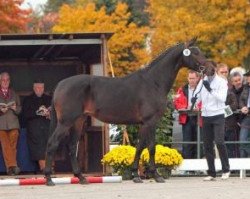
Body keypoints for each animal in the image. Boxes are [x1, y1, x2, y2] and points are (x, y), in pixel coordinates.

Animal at [44, 38, 213, 186]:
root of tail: (60, 85)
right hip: (65, 122)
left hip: (78, 121)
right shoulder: (150, 122)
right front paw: (156, 175)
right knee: (52, 143)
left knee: (72, 146)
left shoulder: (143, 124)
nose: (211, 69)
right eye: (195, 53)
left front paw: (136, 175)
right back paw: (49, 179)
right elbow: (151, 147)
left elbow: (139, 147)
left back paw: (81, 178)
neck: (153, 82)